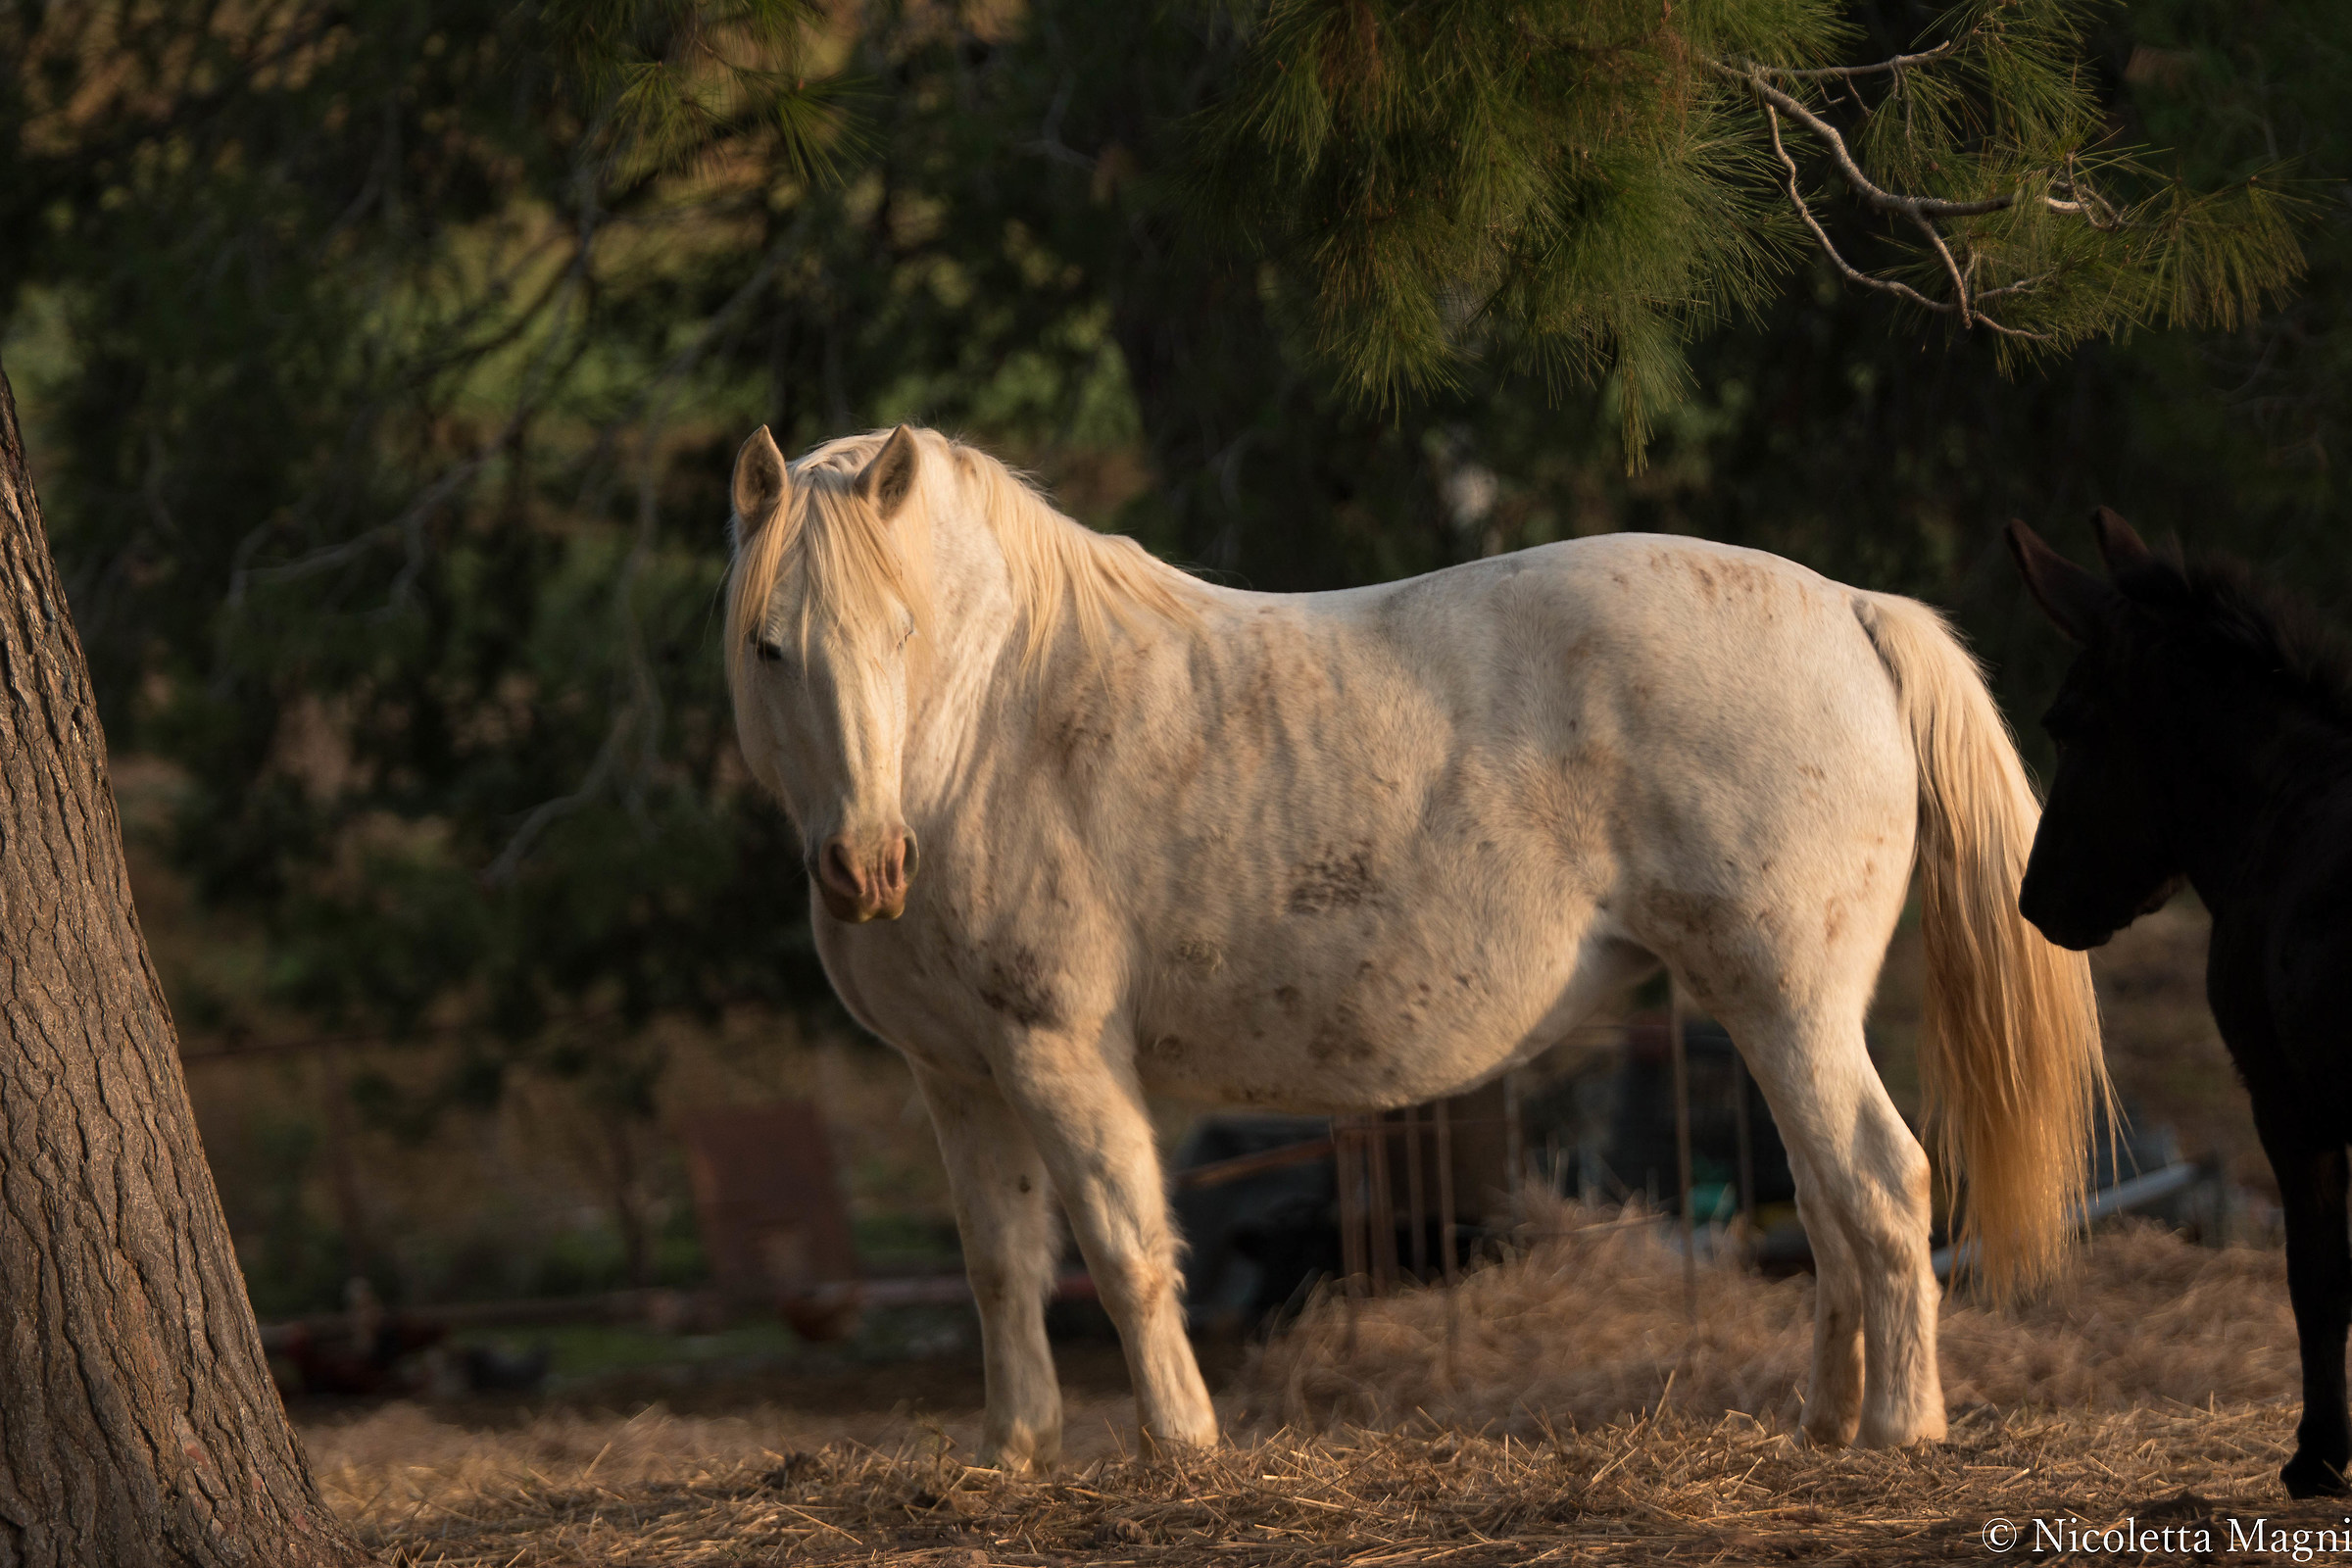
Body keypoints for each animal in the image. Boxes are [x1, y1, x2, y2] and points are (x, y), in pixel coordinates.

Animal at [723, 422, 2107, 1469]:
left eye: (903, 633)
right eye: (767, 644)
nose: (866, 867)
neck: (995, 727)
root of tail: (1851, 610)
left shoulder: (1060, 1054)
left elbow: (1122, 1251)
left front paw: (1181, 1450)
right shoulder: (960, 1078)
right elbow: (1003, 1266)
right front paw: (1012, 1456)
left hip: (1791, 1005)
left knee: (1882, 1184)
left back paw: (1899, 1431)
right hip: (1771, 1017)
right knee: (1828, 1205)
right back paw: (1822, 1424)